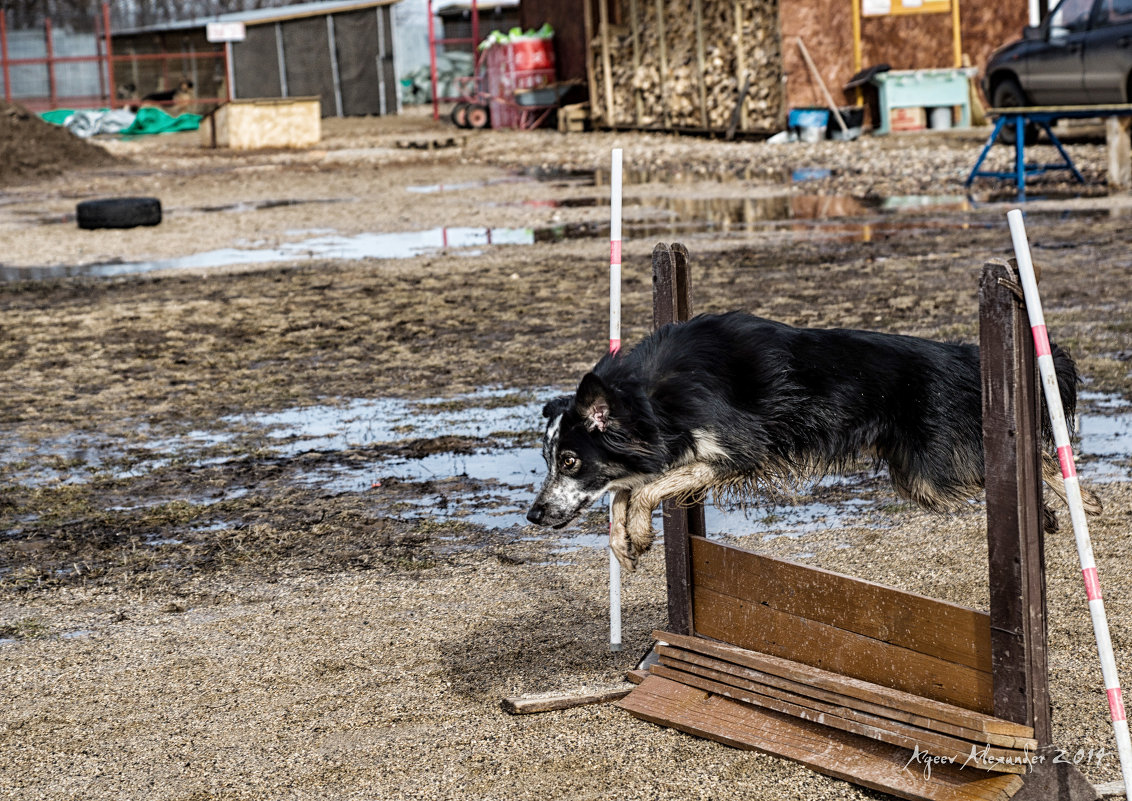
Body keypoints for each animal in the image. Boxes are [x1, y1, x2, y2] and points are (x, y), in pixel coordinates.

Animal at [525, 312, 1091, 570]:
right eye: (549, 459)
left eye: (570, 460)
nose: (533, 515)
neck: (649, 395)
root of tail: (964, 357)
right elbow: (624, 491)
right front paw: (626, 544)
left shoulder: (736, 450)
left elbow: (644, 488)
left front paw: (638, 534)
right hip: (918, 476)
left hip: (932, 475)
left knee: (1028, 461)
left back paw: (1076, 501)